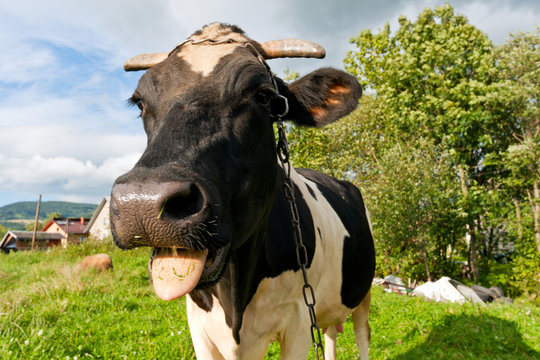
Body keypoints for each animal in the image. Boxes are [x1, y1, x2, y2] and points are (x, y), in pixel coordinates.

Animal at [110, 23, 376, 360]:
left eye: (263, 96)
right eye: (141, 102)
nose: (142, 204)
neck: (235, 300)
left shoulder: (300, 321)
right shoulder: (198, 325)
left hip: (363, 293)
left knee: (362, 335)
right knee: (330, 335)